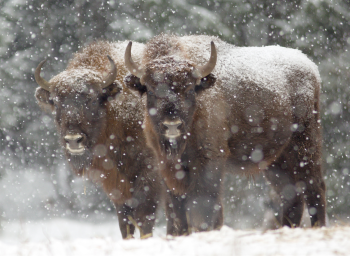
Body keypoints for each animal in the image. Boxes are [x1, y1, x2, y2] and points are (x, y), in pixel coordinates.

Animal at [34, 41, 161, 239]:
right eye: (55, 102)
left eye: (93, 100)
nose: (73, 140)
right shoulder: (116, 187)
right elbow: (125, 223)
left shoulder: (149, 178)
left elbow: (144, 220)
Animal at [124, 34, 326, 236]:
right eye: (151, 90)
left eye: (189, 89)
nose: (172, 124)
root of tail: (310, 66)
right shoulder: (166, 166)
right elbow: (177, 212)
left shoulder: (209, 161)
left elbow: (203, 207)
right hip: (276, 160)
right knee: (291, 194)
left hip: (305, 145)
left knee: (314, 187)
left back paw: (320, 226)